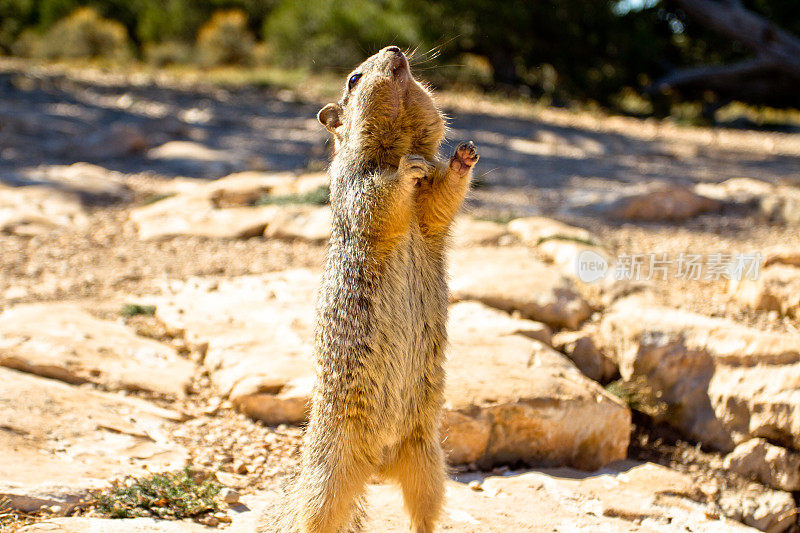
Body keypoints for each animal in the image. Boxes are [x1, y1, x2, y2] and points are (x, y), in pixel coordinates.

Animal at [276, 46, 478, 532]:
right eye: (354, 78)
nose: (396, 50)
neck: (400, 143)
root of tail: (378, 464)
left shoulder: (428, 208)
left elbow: (440, 200)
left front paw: (463, 156)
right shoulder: (354, 182)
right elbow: (379, 198)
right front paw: (407, 170)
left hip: (429, 461)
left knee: (423, 510)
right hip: (331, 474)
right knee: (315, 514)